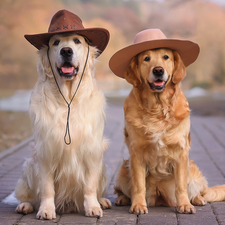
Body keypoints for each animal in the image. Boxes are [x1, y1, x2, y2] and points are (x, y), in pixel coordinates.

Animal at [113, 48, 225, 214]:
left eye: (166, 57)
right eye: (146, 58)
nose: (158, 70)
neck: (157, 108)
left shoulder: (181, 153)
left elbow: (181, 186)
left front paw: (185, 205)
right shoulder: (136, 153)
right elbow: (138, 185)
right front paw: (138, 205)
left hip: (193, 171)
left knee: (199, 191)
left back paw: (198, 199)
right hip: (123, 171)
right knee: (121, 190)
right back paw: (122, 199)